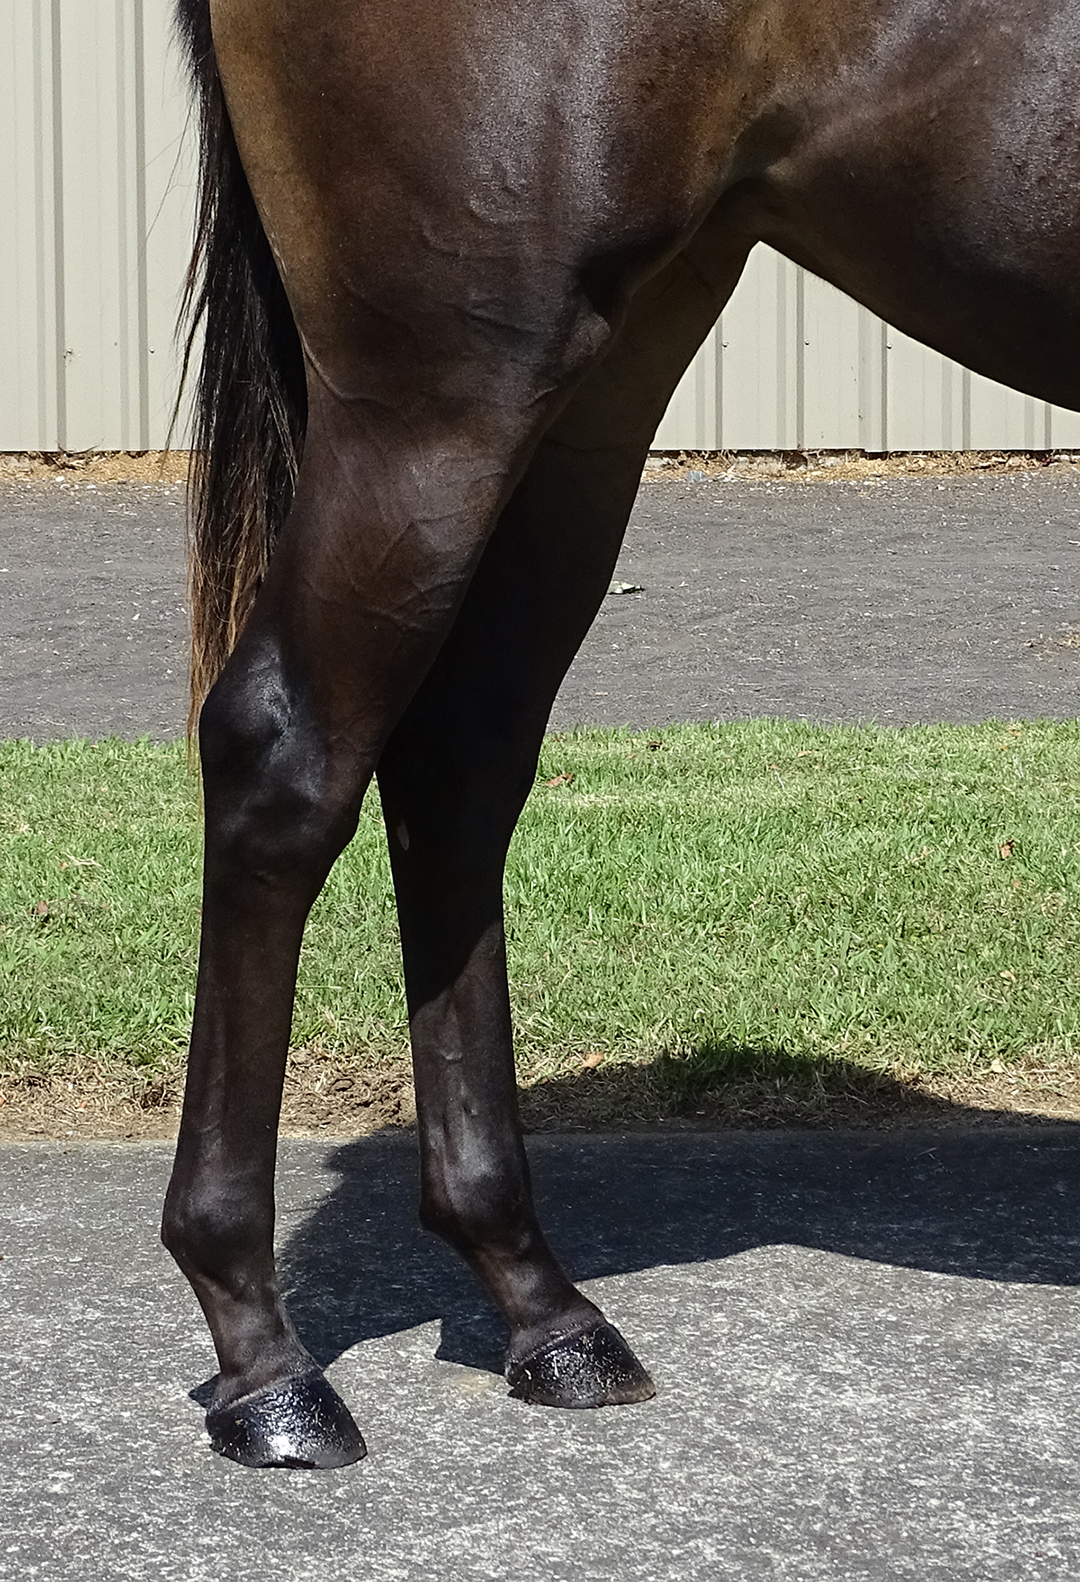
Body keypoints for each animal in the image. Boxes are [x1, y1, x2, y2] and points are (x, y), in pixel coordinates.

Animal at [163, 0, 1080, 1469]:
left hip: (598, 374)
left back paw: (541, 1304)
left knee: (457, 763)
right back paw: (267, 1362)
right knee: (286, 754)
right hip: (442, 386)